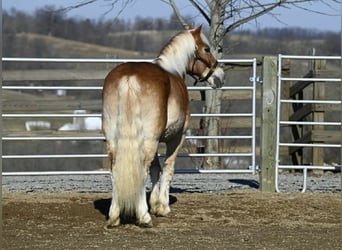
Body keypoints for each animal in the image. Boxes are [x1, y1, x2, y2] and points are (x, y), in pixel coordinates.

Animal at [101, 25, 224, 229]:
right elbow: (168, 169)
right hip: (149, 141)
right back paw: (144, 217)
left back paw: (114, 216)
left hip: (113, 141)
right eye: (206, 49)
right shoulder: (176, 138)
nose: (220, 75)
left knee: (115, 171)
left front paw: (155, 203)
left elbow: (156, 169)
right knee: (141, 172)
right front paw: (162, 207)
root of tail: (130, 77)